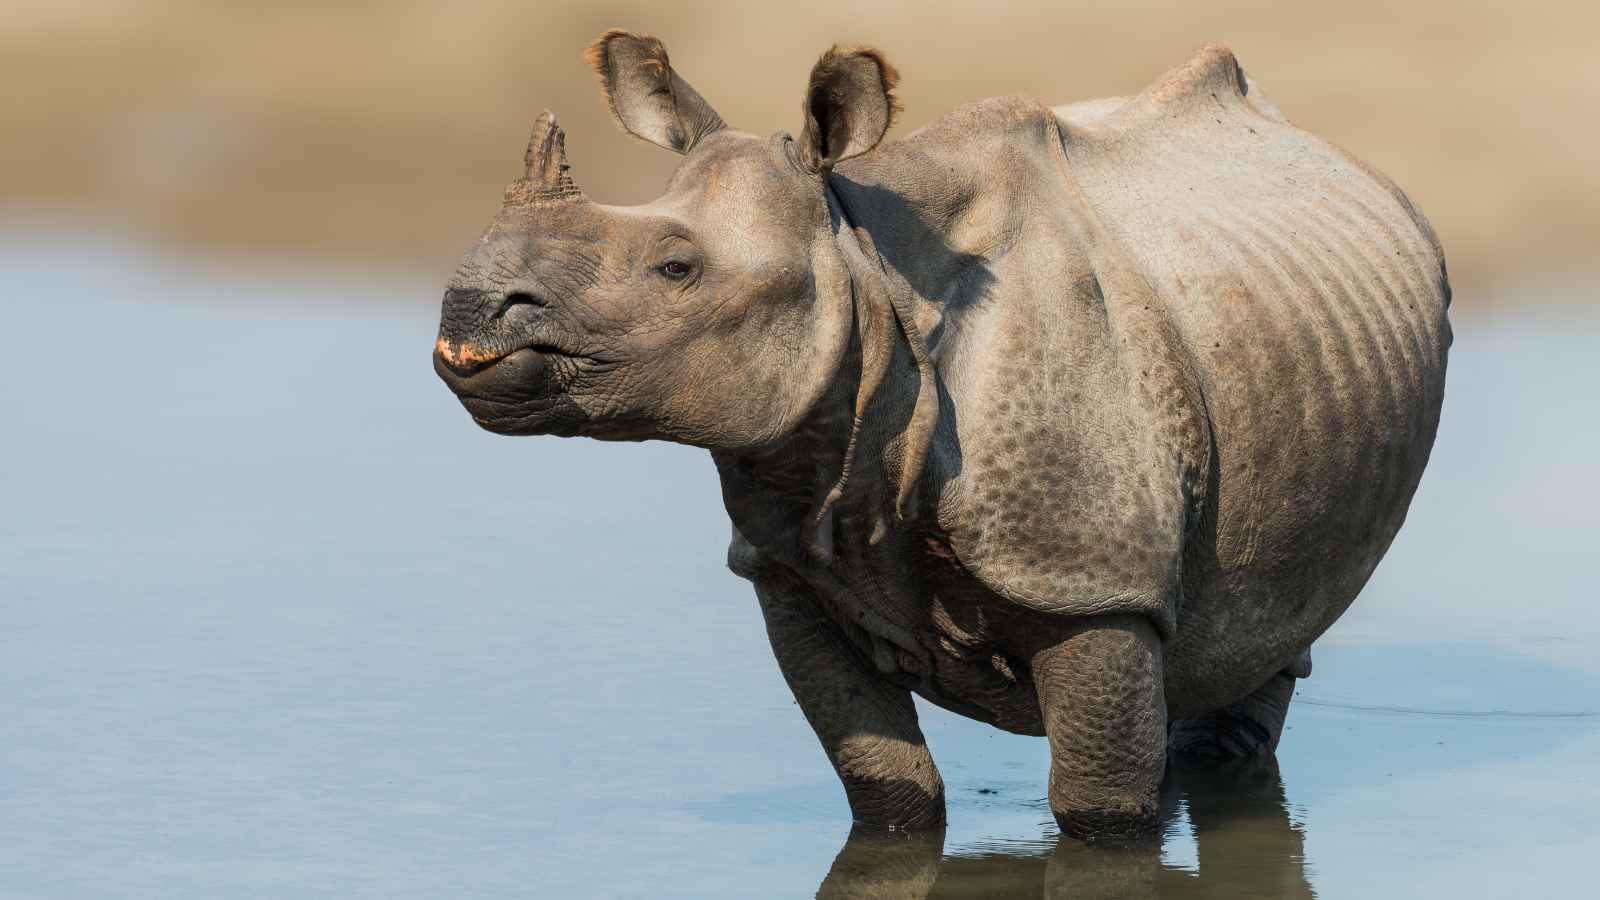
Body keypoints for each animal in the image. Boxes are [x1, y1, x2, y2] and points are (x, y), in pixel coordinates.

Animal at [433, 29, 1450, 839]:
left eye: (675, 268)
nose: (468, 307)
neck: (864, 268)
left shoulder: (1095, 582)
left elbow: (1100, 812)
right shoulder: (788, 565)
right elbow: (887, 790)